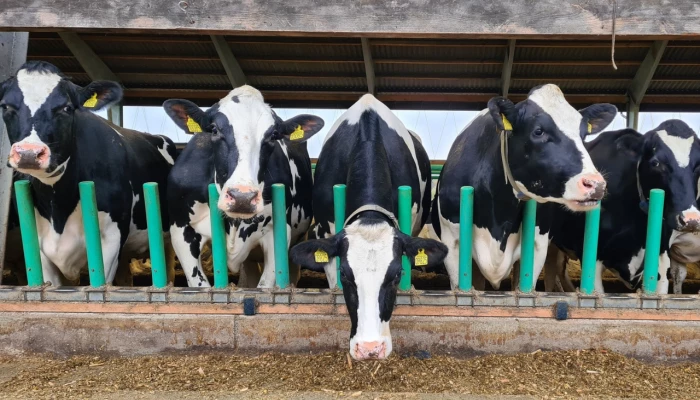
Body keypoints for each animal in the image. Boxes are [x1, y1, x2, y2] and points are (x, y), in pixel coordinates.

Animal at [0, 61, 177, 286]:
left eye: (66, 108)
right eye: (5, 106)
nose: (29, 153)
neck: (59, 208)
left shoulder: (112, 240)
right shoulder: (39, 248)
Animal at [163, 86, 323, 288]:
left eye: (273, 136)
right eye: (214, 130)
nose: (242, 198)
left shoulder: (278, 233)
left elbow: (265, 285)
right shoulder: (181, 230)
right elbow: (200, 285)